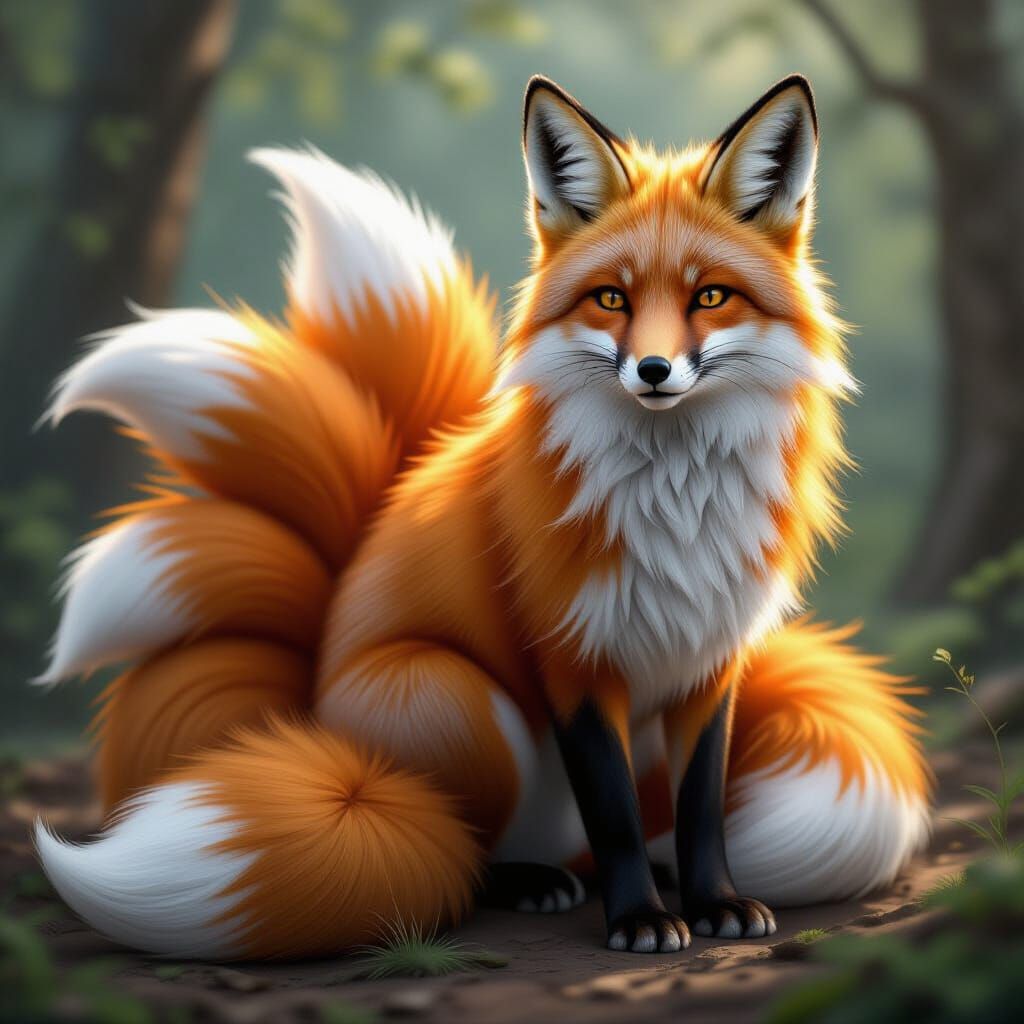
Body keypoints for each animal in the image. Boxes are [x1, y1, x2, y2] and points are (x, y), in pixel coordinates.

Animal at [32, 74, 930, 959]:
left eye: (710, 296)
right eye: (611, 298)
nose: (653, 369)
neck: (675, 507)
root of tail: (308, 707)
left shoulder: (711, 659)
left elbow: (703, 805)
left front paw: (714, 902)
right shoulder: (574, 660)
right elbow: (612, 813)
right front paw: (638, 922)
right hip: (460, 699)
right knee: (461, 845)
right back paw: (533, 880)